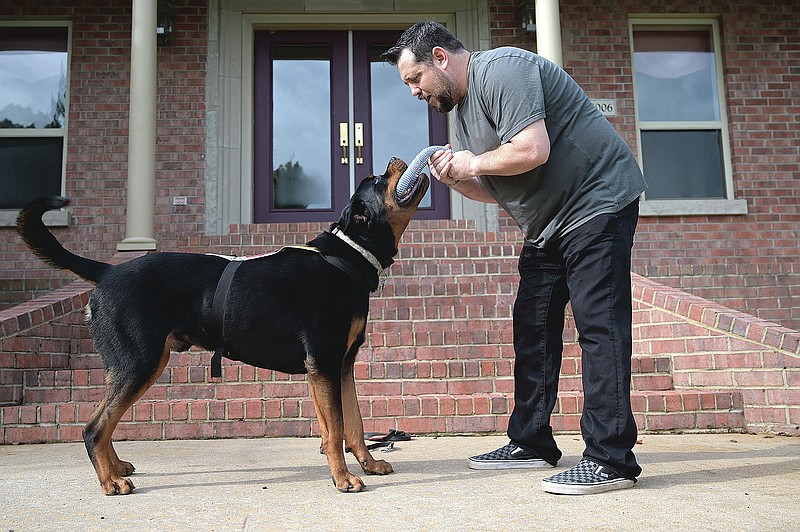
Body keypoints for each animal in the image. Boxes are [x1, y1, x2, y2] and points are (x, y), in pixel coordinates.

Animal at [15, 157, 428, 494]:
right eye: (376, 179)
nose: (395, 158)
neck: (347, 254)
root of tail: (107, 271)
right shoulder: (323, 363)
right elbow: (336, 428)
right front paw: (342, 479)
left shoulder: (342, 364)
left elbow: (355, 424)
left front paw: (370, 465)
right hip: (139, 363)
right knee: (94, 427)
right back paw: (110, 481)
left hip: (130, 366)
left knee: (104, 421)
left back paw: (116, 468)